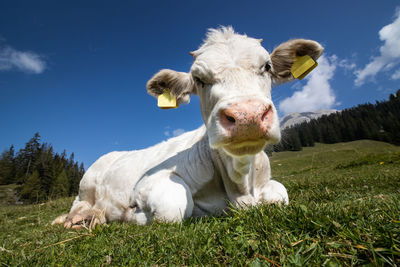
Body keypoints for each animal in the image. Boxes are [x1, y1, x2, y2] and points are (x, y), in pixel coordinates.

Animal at [53, 26, 324, 228]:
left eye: (266, 66)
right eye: (198, 79)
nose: (246, 115)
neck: (240, 188)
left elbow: (280, 193)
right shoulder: (149, 183)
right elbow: (172, 209)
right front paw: (130, 215)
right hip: (87, 182)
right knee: (80, 203)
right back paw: (79, 218)